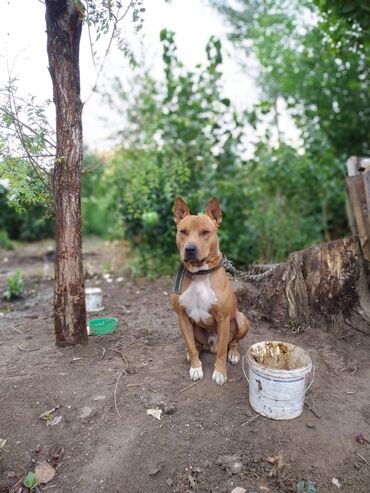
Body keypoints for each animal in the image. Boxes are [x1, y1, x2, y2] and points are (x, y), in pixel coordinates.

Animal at [171, 196, 249, 384]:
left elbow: (221, 351)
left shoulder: (223, 318)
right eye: (183, 231)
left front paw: (220, 373)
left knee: (232, 342)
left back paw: (233, 354)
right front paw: (195, 368)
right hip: (193, 328)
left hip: (241, 319)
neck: (199, 274)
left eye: (205, 232)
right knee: (197, 345)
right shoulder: (183, 317)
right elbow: (191, 346)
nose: (190, 249)